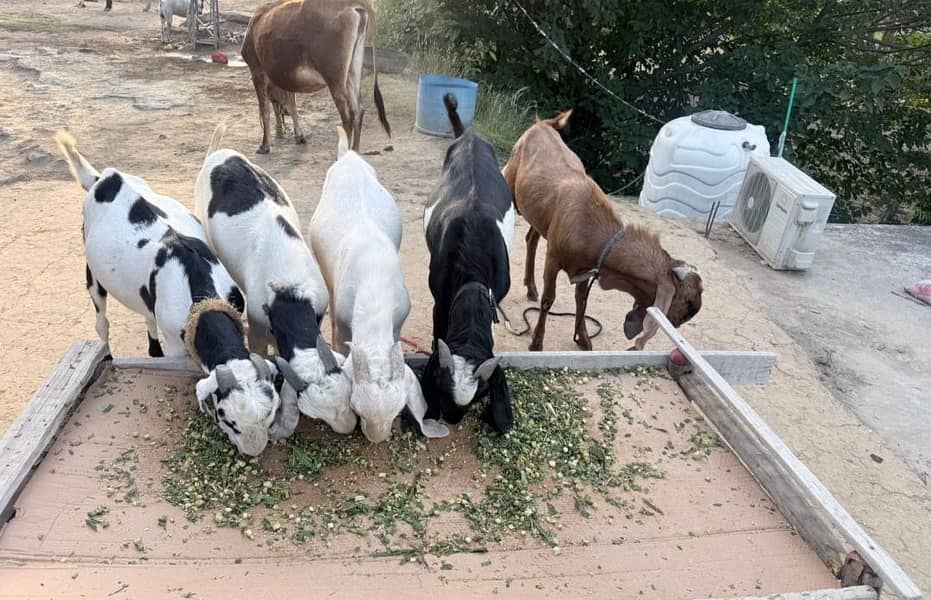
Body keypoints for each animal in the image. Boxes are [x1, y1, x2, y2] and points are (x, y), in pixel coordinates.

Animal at [55, 130, 289, 456]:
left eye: (269, 414)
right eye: (227, 420)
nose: (252, 452)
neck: (197, 282)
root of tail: (103, 179)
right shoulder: (178, 345)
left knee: (145, 313)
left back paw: (153, 350)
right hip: (92, 272)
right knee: (101, 321)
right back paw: (108, 354)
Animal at [194, 122, 355, 437]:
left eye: (347, 396)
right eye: (316, 415)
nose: (349, 427)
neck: (289, 294)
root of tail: (216, 154)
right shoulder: (257, 326)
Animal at [309, 127, 448, 443]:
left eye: (397, 411)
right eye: (356, 409)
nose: (376, 439)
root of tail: (348, 155)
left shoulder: (398, 318)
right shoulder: (346, 322)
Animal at [502, 111, 704, 351]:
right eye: (687, 301)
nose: (677, 325)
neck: (597, 235)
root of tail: (542, 124)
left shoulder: (585, 270)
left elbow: (582, 300)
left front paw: (583, 338)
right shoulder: (553, 258)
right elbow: (548, 298)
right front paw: (536, 343)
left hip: (539, 215)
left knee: (531, 238)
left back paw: (531, 288)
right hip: (510, 185)